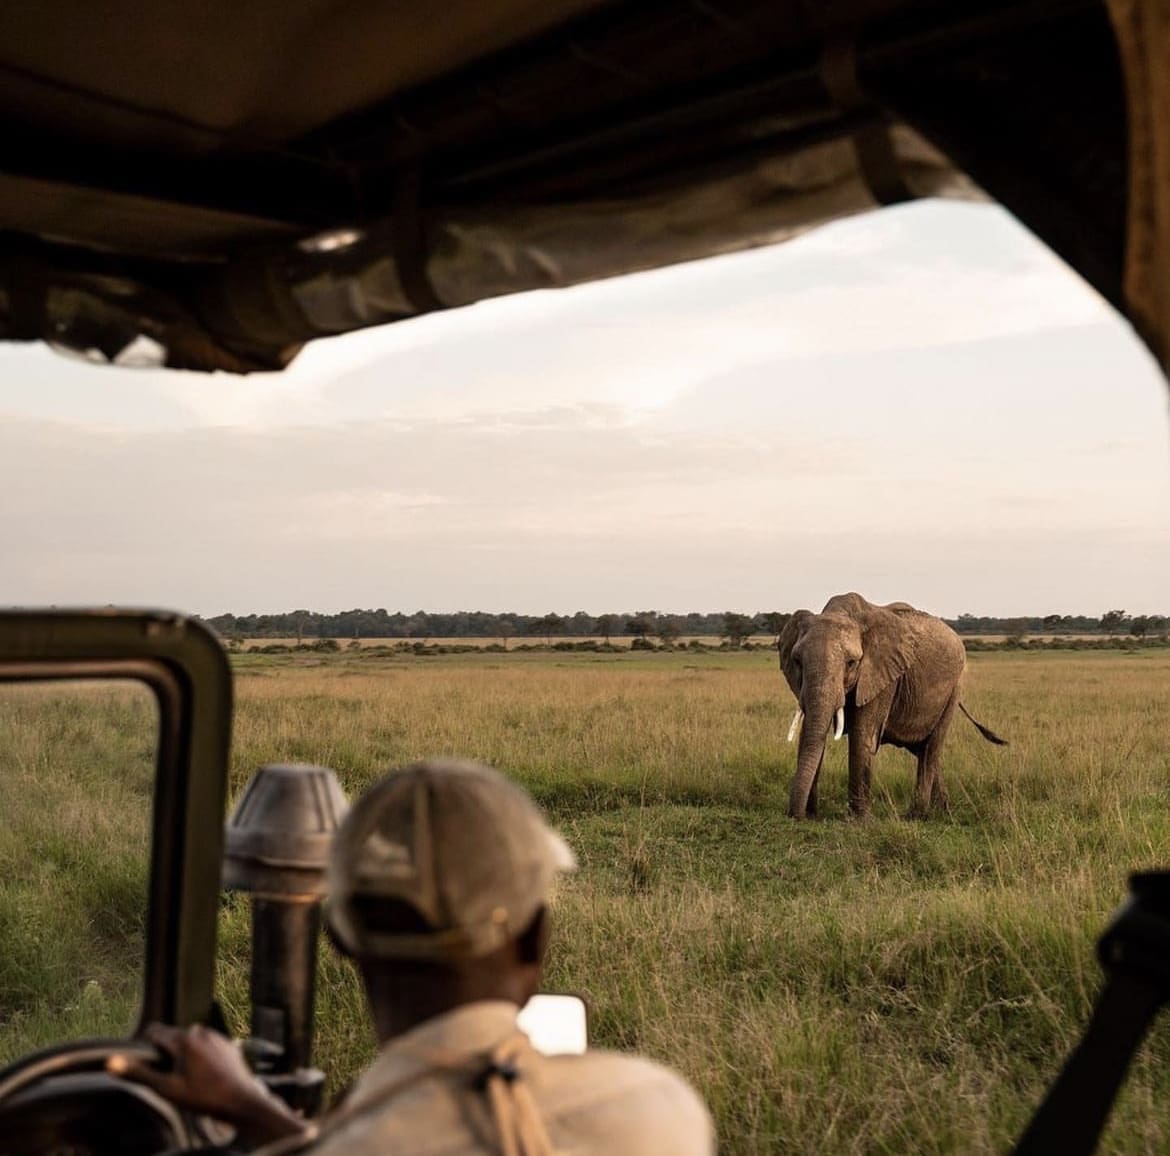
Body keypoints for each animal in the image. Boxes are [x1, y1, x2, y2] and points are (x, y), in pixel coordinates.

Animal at [776, 592, 1006, 819]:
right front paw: (811, 815)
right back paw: (942, 811)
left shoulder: (883, 677)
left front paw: (858, 820)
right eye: (797, 661)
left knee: (931, 749)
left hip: (953, 690)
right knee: (922, 749)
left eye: (851, 663)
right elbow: (809, 734)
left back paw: (917, 815)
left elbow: (862, 737)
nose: (796, 815)